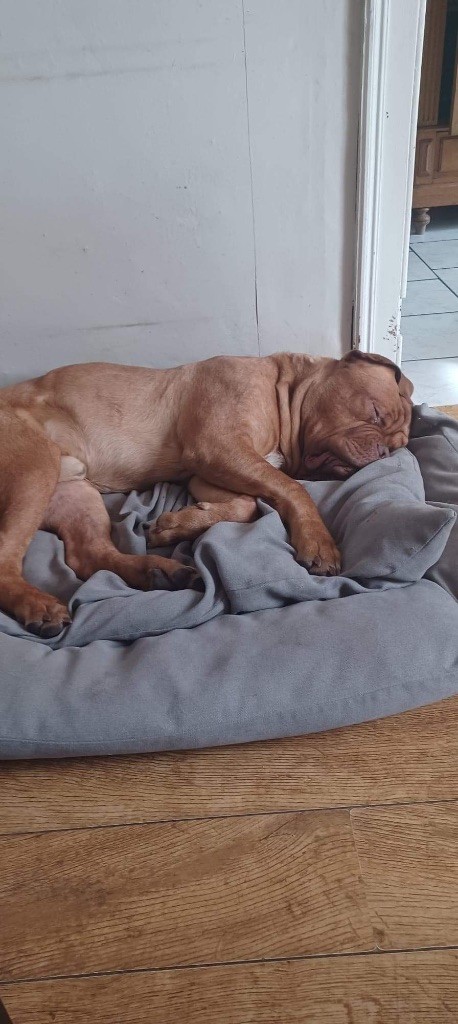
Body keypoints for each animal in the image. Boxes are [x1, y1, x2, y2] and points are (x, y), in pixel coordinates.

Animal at [0, 350, 413, 636]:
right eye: (375, 413)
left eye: (397, 446)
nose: (382, 452)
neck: (283, 394)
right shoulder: (220, 446)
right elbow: (292, 488)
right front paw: (319, 542)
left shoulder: (214, 471)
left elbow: (248, 505)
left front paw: (178, 525)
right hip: (35, 469)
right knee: (8, 554)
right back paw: (35, 604)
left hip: (75, 493)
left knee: (89, 554)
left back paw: (160, 572)